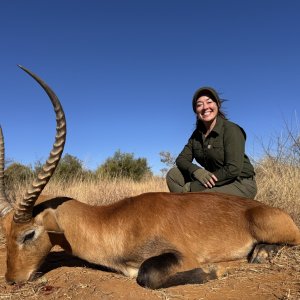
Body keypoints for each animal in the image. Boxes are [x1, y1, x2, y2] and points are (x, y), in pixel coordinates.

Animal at [0, 67, 300, 290]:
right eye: (6, 232)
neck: (113, 220)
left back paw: (260, 254)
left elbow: (147, 275)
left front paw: (215, 269)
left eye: (28, 234)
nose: (12, 280)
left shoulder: (179, 256)